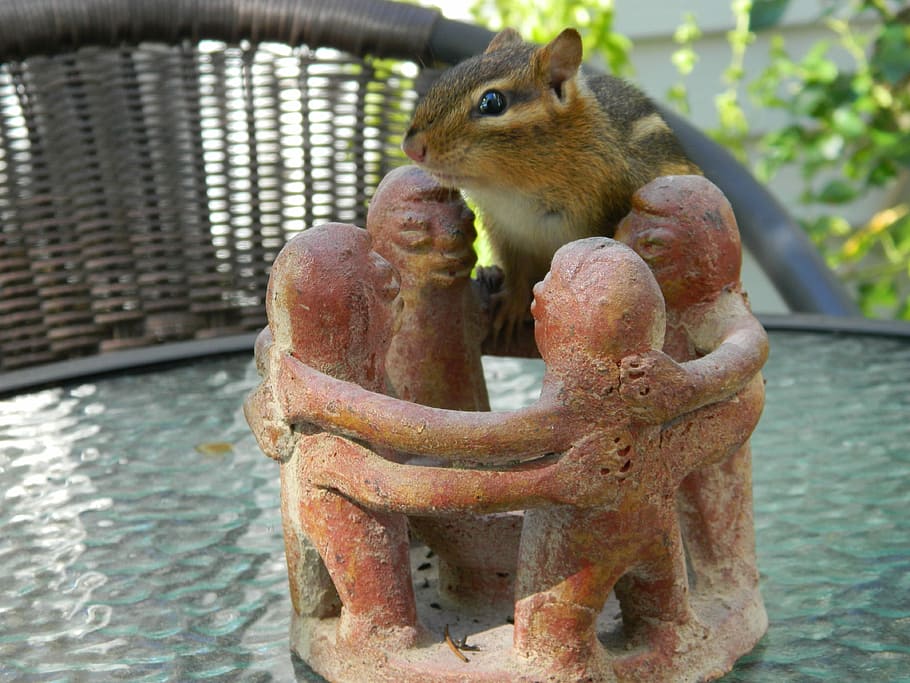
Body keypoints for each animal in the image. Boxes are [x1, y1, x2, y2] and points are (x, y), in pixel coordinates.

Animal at [402, 27, 701, 343]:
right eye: (447, 77)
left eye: (492, 102)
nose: (410, 147)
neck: (514, 189)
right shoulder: (508, 235)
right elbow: (516, 274)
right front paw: (511, 304)